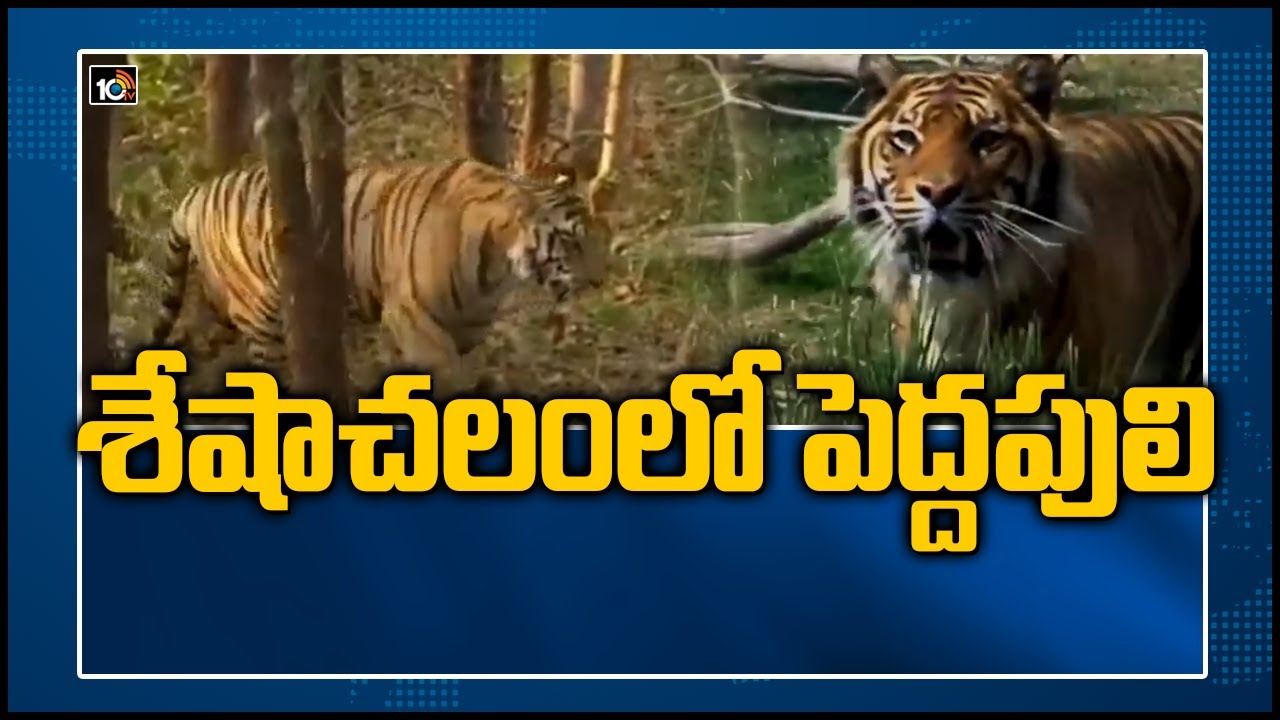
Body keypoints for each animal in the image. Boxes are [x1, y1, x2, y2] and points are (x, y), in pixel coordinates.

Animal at [152, 158, 609, 395]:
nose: (600, 281)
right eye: (571, 241)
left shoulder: (469, 326)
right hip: (261, 313)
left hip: (225, 309)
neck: (499, 267)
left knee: (194, 343)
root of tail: (196, 193)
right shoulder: (414, 317)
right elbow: (446, 374)